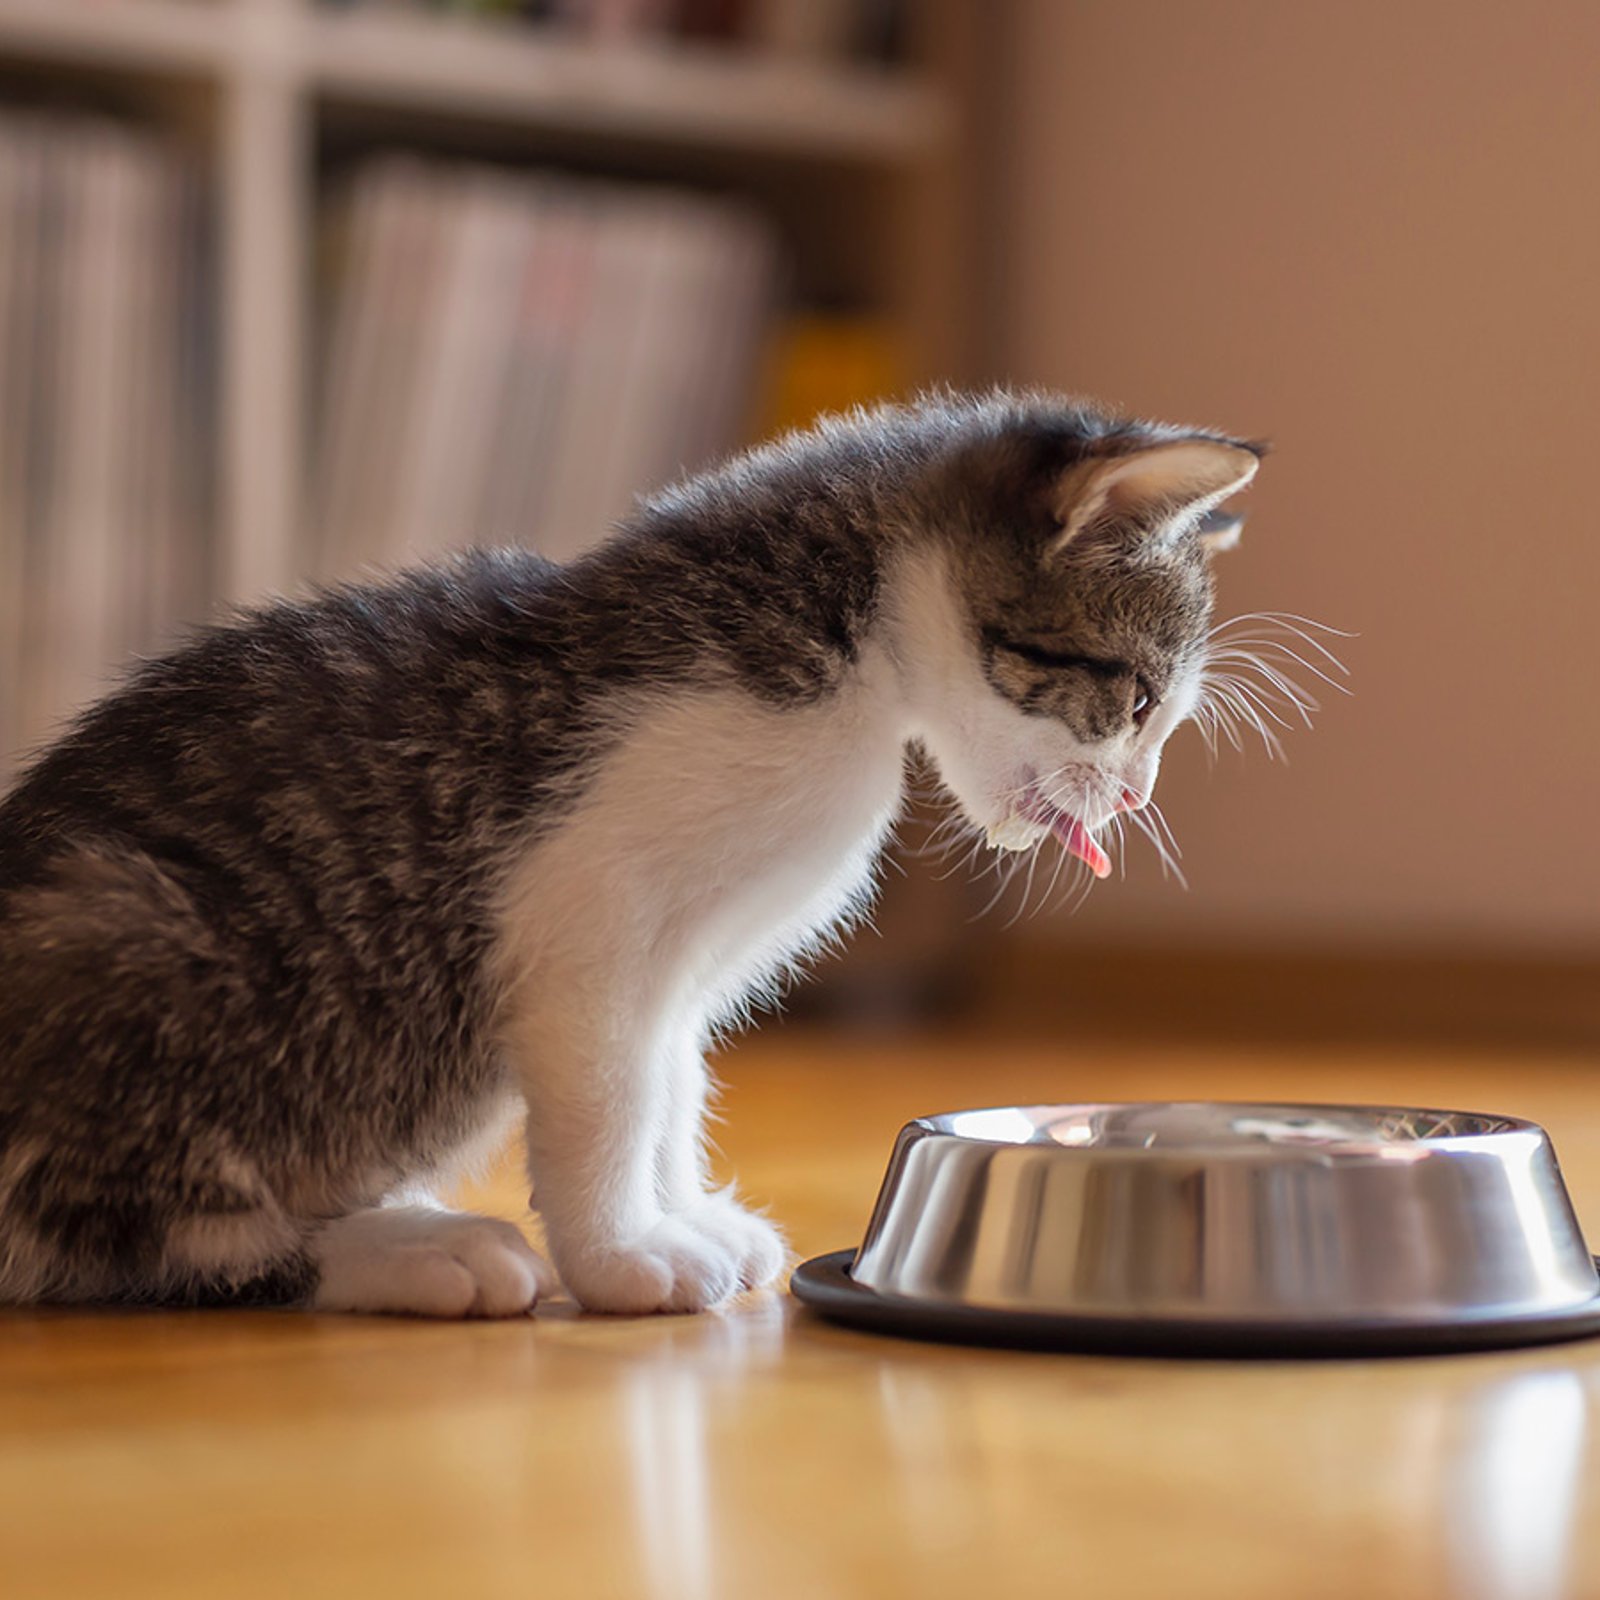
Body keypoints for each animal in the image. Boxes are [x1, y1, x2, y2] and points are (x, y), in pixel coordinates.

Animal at [0, 387, 1260, 1312]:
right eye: (1137, 700)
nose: (1135, 796)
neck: (842, 651)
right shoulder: (585, 918)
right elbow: (612, 1091)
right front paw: (621, 1256)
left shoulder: (684, 962)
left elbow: (669, 1079)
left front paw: (678, 1212)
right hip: (126, 930)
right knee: (119, 1234)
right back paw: (409, 1253)